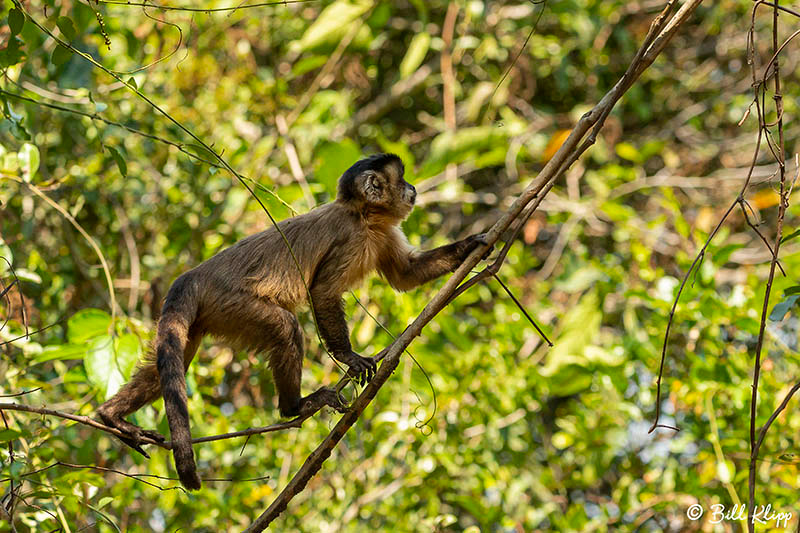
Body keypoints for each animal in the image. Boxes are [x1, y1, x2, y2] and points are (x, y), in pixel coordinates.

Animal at [97, 152, 490, 488]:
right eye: (402, 178)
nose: (413, 189)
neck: (365, 216)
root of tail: (195, 275)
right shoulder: (350, 237)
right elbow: (323, 291)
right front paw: (348, 357)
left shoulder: (382, 234)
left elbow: (406, 275)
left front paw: (475, 245)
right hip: (230, 302)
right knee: (286, 328)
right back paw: (294, 407)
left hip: (201, 318)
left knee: (172, 361)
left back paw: (109, 416)